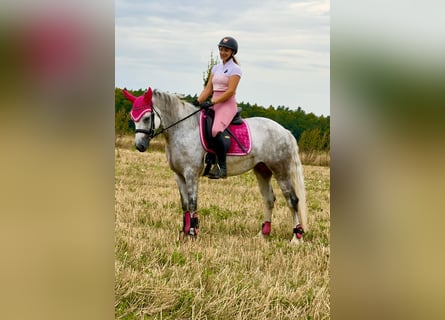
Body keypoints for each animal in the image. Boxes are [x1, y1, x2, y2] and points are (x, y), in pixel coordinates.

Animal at [122, 86, 308, 244]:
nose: (140, 146)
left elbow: (192, 203)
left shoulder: (191, 173)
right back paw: (263, 234)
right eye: (133, 118)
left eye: (147, 118)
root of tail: (285, 131)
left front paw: (193, 234)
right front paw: (184, 233)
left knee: (292, 200)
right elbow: (184, 204)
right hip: (262, 170)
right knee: (269, 200)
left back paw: (296, 238)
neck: (183, 129)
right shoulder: (179, 175)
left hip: (281, 170)